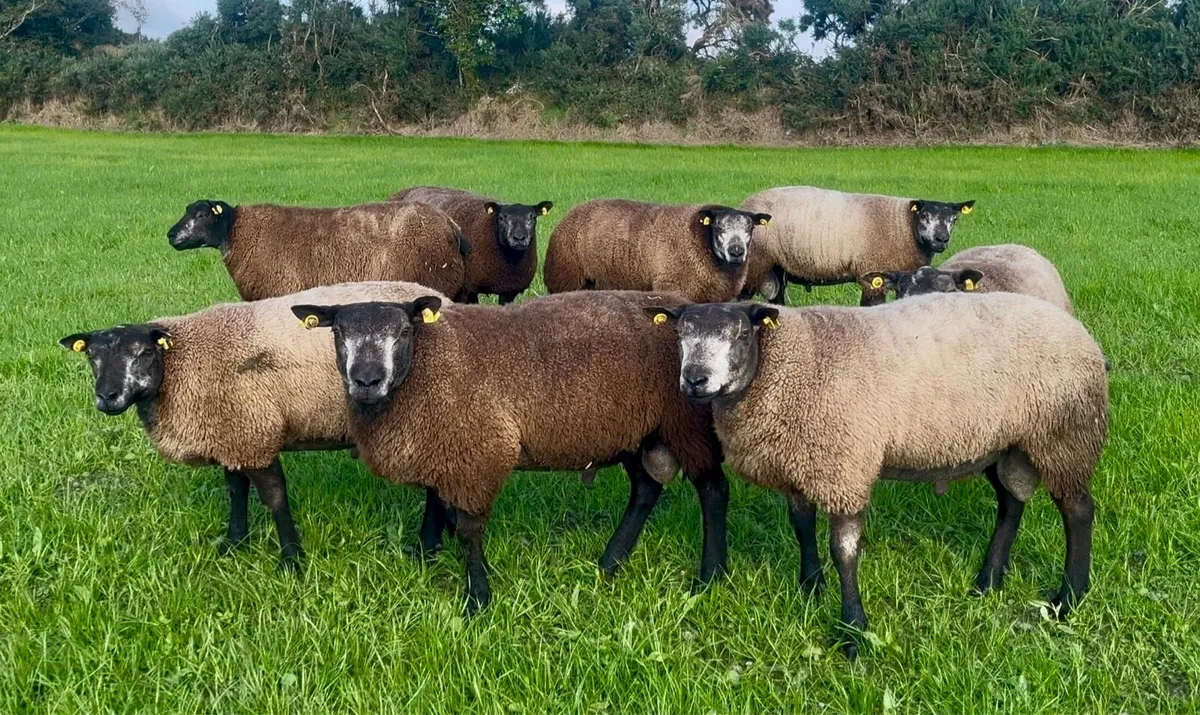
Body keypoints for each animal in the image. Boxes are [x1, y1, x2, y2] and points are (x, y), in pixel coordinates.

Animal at [59, 281, 444, 572]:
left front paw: (291, 560)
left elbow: (275, 499)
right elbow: (235, 491)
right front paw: (234, 542)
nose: (107, 396)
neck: (181, 364)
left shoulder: (255, 433)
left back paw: (428, 550)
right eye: (91, 356)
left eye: (143, 353)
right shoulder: (232, 435)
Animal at [290, 290, 729, 613]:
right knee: (645, 489)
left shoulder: (479, 450)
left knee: (712, 490)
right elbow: (446, 511)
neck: (424, 370)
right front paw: (447, 564)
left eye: (402, 332)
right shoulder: (450, 448)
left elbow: (468, 529)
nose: (367, 380)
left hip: (687, 423)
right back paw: (611, 561)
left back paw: (710, 575)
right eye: (338, 332)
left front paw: (478, 598)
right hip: (632, 429)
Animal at [651, 293, 1107, 658]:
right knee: (1012, 501)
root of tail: (1073, 325)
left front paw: (853, 630)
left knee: (1078, 510)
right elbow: (801, 526)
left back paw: (1069, 597)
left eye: (742, 333)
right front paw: (811, 587)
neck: (793, 363)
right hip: (1008, 442)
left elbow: (844, 551)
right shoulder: (799, 464)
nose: (695, 380)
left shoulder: (844, 468)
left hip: (1064, 433)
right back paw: (988, 581)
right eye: (680, 335)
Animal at [738, 186, 975, 304]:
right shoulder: (872, 273)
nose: (941, 239)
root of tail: (745, 206)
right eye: (924, 216)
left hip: (775, 268)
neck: (903, 225)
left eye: (954, 219)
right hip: (756, 263)